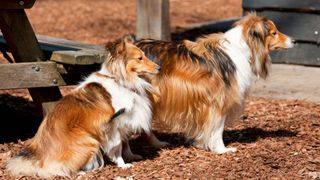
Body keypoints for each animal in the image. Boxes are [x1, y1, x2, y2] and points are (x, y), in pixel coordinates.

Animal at [6, 37, 165, 179]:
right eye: (140, 58)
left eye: (144, 56)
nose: (159, 67)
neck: (119, 80)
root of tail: (41, 158)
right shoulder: (113, 125)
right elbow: (118, 145)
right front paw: (122, 164)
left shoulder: (125, 121)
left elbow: (125, 143)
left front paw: (130, 156)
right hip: (90, 142)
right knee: (55, 169)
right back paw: (78, 173)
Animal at [134, 13, 292, 153]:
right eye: (274, 33)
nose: (294, 41)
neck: (241, 48)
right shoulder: (218, 102)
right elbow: (217, 130)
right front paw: (221, 149)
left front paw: (201, 144)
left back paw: (157, 143)